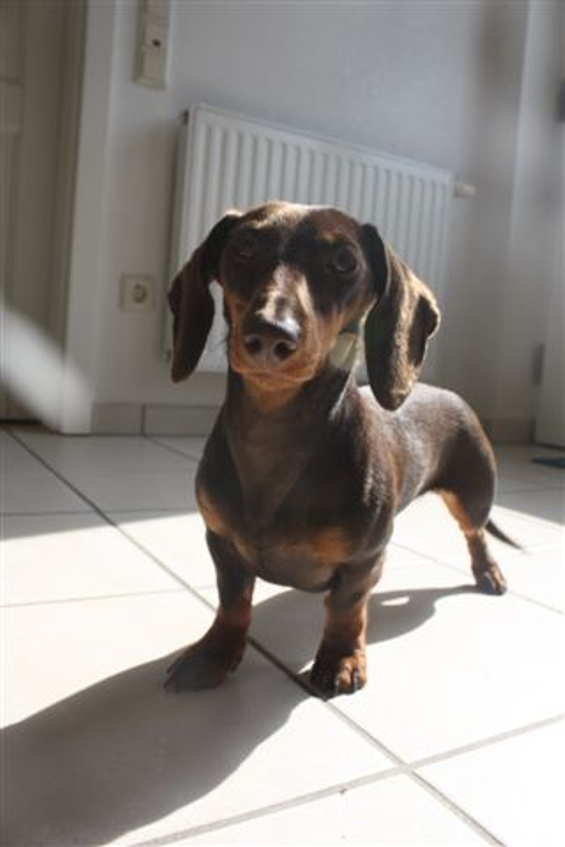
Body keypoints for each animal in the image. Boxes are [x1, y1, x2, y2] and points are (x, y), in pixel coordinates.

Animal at [165, 201, 514, 697]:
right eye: (243, 248)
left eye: (344, 262)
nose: (270, 335)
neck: (276, 432)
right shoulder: (222, 545)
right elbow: (233, 603)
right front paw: (213, 653)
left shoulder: (363, 559)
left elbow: (347, 607)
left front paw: (341, 658)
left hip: (472, 493)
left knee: (476, 533)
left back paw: (488, 573)